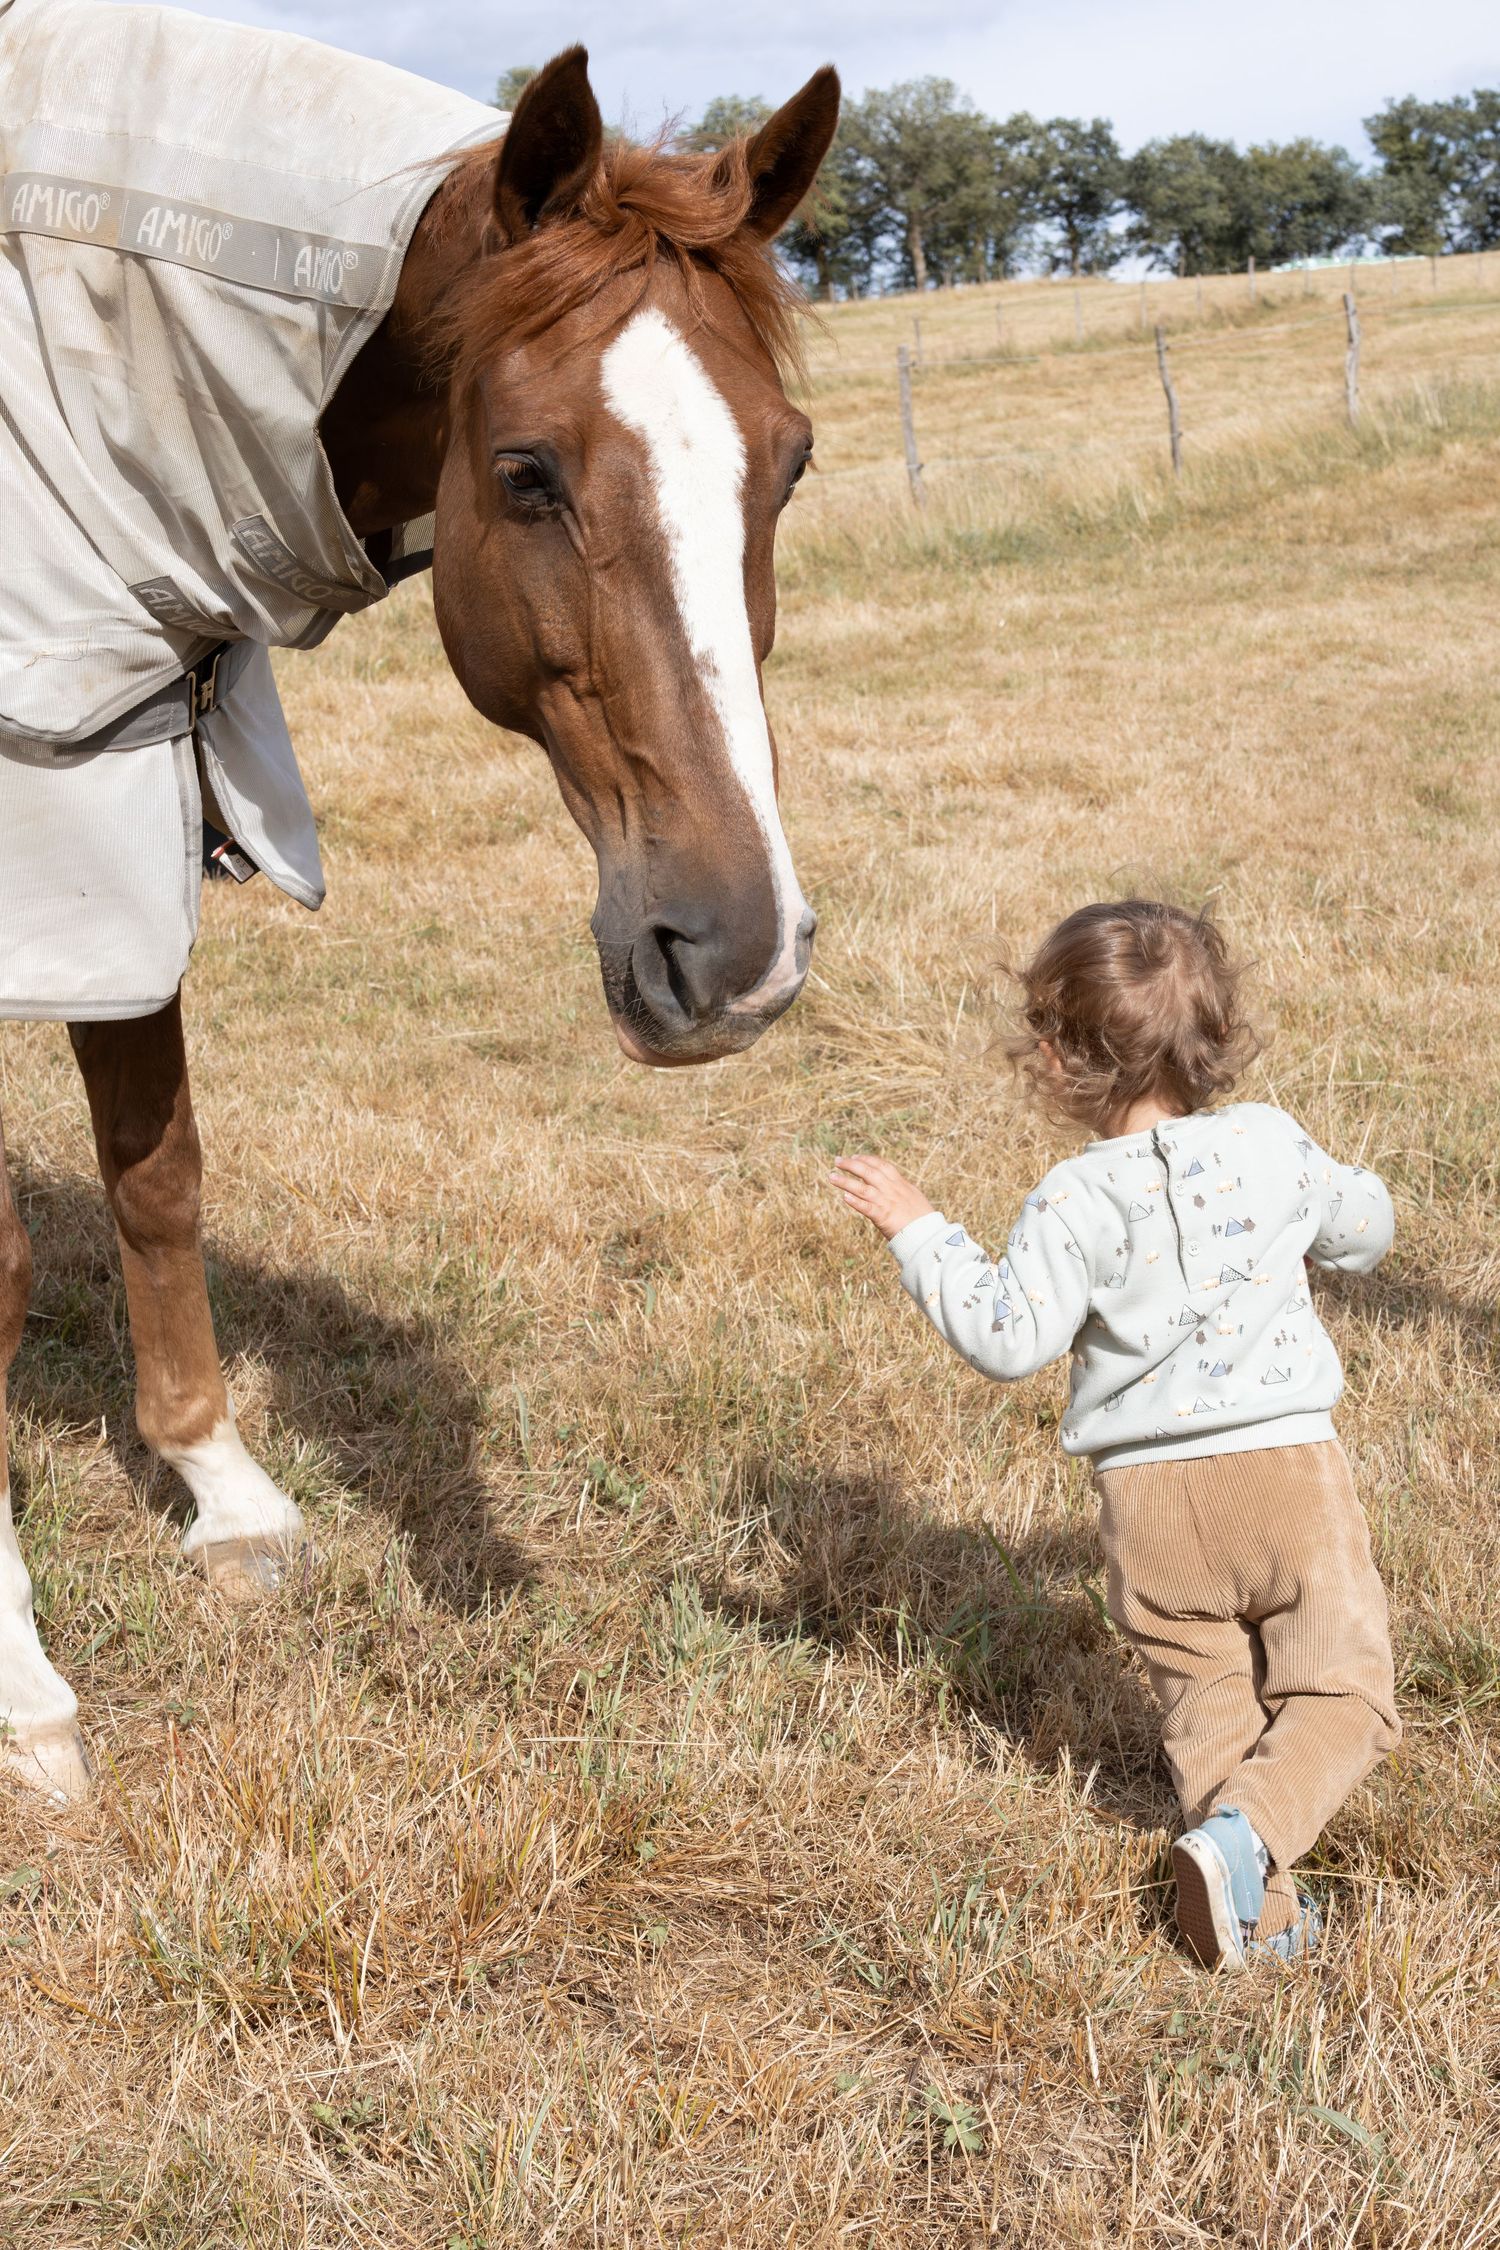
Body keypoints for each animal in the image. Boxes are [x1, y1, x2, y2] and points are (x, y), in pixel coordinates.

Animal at [0, 41, 840, 1797]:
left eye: (789, 460)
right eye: (524, 472)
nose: (738, 957)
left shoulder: (127, 815)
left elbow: (157, 1173)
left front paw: (223, 1491)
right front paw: (18, 1676)